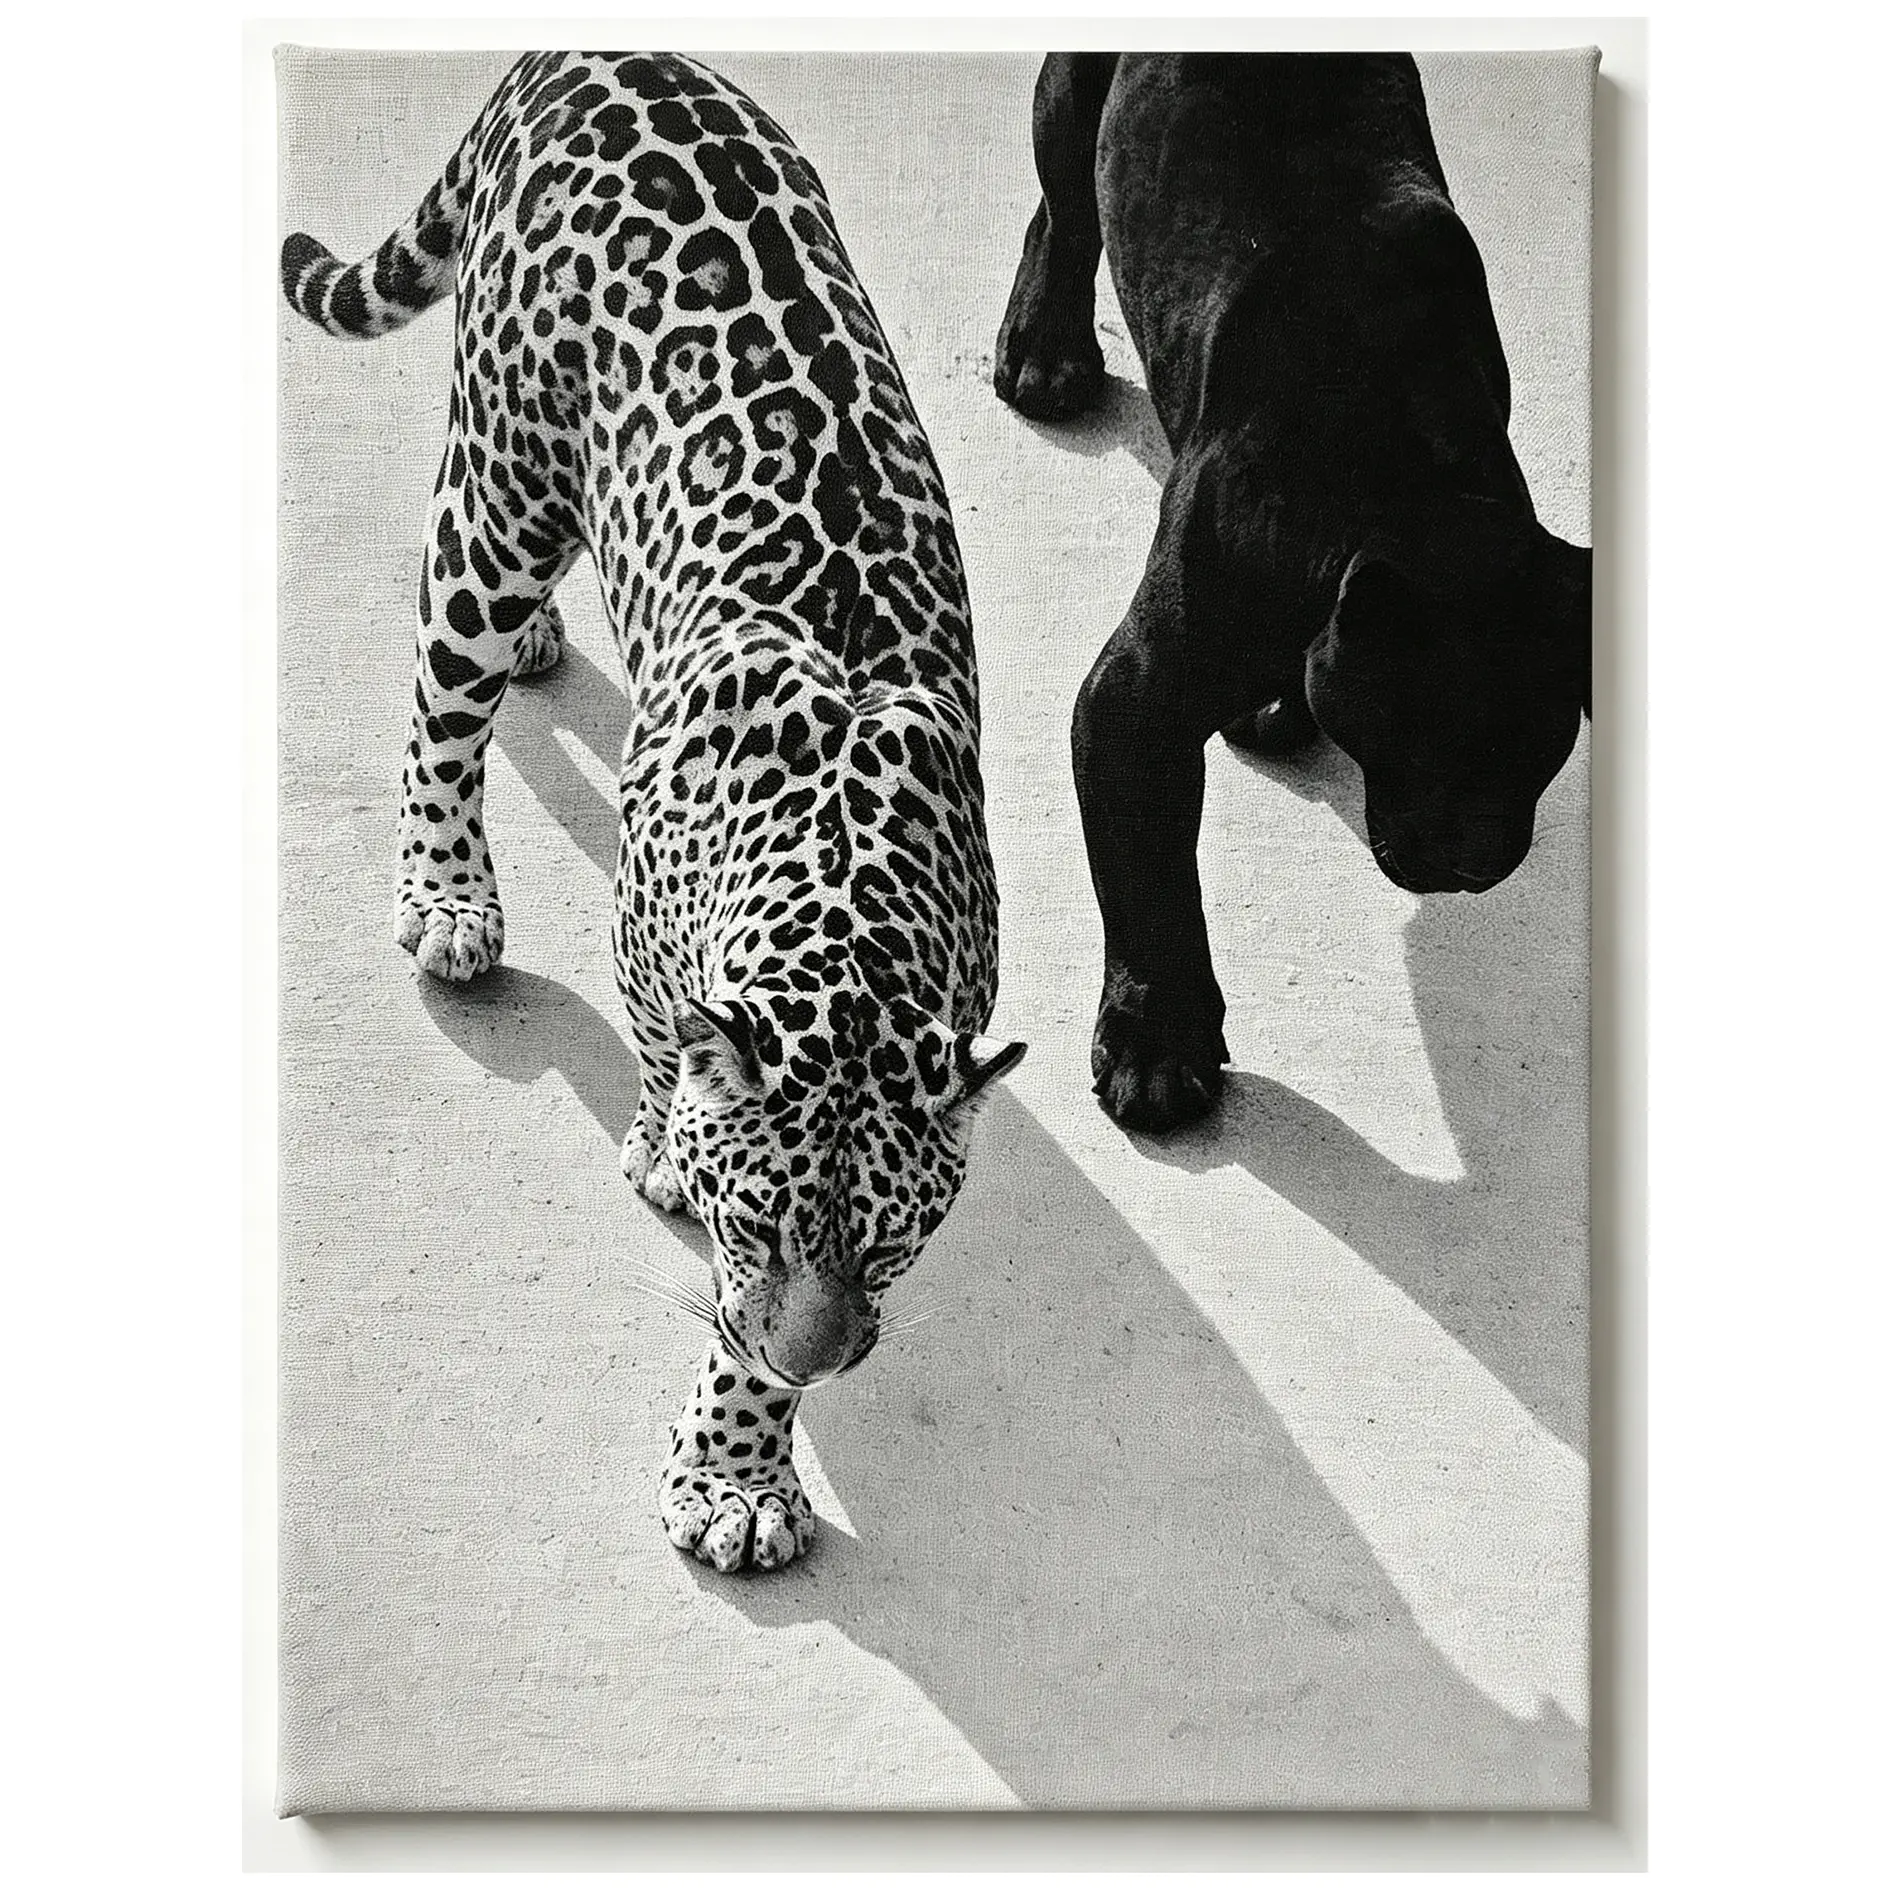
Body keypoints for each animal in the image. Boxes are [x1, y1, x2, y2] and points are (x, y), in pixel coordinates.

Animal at [281, 51, 1025, 1573]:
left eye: (890, 1245)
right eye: (759, 1222)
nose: (823, 1356)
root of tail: (589, 56)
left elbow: (736, 1343)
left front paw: (743, 1462)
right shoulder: (650, 930)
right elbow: (663, 1054)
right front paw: (665, 1148)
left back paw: (544, 644)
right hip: (496, 490)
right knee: (441, 693)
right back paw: (448, 894)